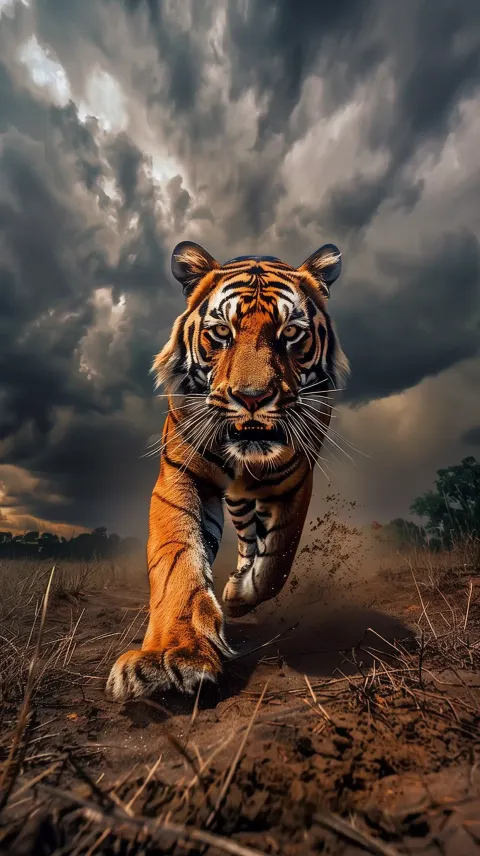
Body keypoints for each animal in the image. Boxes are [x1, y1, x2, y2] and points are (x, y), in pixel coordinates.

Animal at [106, 240, 349, 701]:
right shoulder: (182, 476)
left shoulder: (295, 480)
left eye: (290, 334)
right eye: (221, 333)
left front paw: (239, 597)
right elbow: (177, 561)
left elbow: (278, 559)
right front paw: (169, 656)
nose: (252, 397)